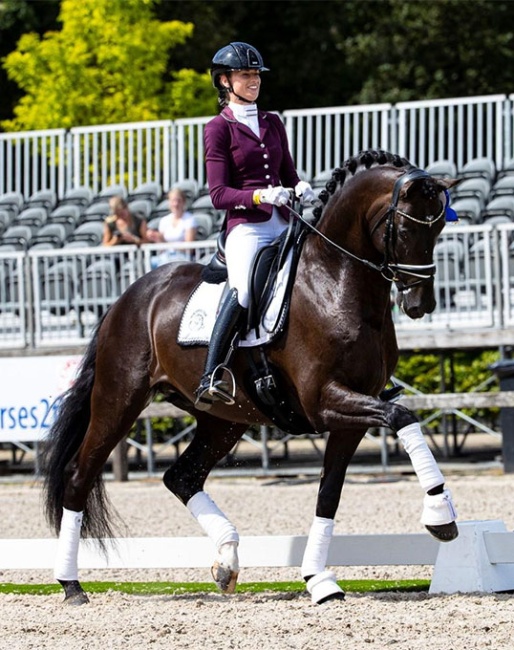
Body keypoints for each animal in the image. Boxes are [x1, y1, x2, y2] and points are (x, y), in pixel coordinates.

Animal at [43, 149, 456, 604]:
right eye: (406, 227)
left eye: (439, 227)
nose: (420, 304)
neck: (335, 281)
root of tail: (127, 297)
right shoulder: (324, 401)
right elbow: (403, 417)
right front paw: (440, 514)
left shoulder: (352, 414)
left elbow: (329, 494)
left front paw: (319, 580)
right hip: (119, 401)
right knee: (78, 478)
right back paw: (71, 585)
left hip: (223, 421)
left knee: (181, 477)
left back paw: (227, 561)